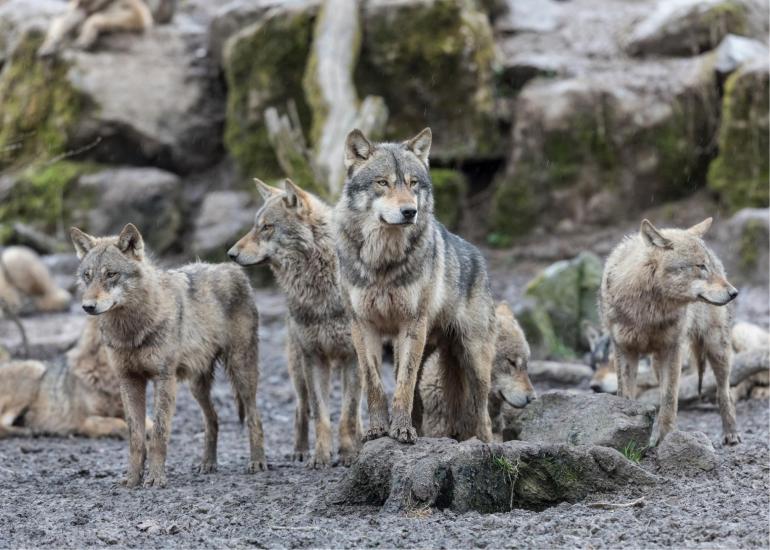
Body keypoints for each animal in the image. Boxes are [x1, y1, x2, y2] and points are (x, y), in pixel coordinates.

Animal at [70, 223, 265, 488]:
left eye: (111, 274)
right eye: (87, 276)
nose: (88, 306)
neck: (132, 330)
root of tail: (233, 268)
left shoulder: (164, 379)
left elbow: (159, 432)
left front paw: (155, 478)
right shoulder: (129, 381)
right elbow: (135, 436)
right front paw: (132, 479)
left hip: (241, 372)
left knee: (255, 417)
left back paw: (257, 463)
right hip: (196, 386)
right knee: (213, 419)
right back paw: (208, 464)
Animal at [228, 178, 361, 467]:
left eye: (267, 227)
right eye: (255, 225)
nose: (230, 254)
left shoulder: (353, 358)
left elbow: (348, 414)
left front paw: (348, 454)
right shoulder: (313, 357)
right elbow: (321, 416)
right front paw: (320, 456)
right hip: (298, 366)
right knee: (302, 407)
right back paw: (300, 451)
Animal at [335, 128, 497, 444]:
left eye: (412, 183)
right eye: (382, 183)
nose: (410, 211)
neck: (382, 263)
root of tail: (479, 256)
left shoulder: (411, 324)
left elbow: (403, 384)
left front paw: (401, 430)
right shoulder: (362, 325)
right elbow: (374, 383)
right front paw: (377, 430)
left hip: (473, 359)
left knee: (482, 413)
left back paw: (484, 443)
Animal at [600, 217, 740, 446]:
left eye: (709, 266)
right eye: (701, 266)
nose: (734, 293)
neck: (649, 312)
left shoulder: (672, 350)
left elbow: (669, 399)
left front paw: (667, 439)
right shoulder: (624, 350)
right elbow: (625, 395)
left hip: (717, 348)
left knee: (724, 391)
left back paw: (731, 433)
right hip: (657, 363)